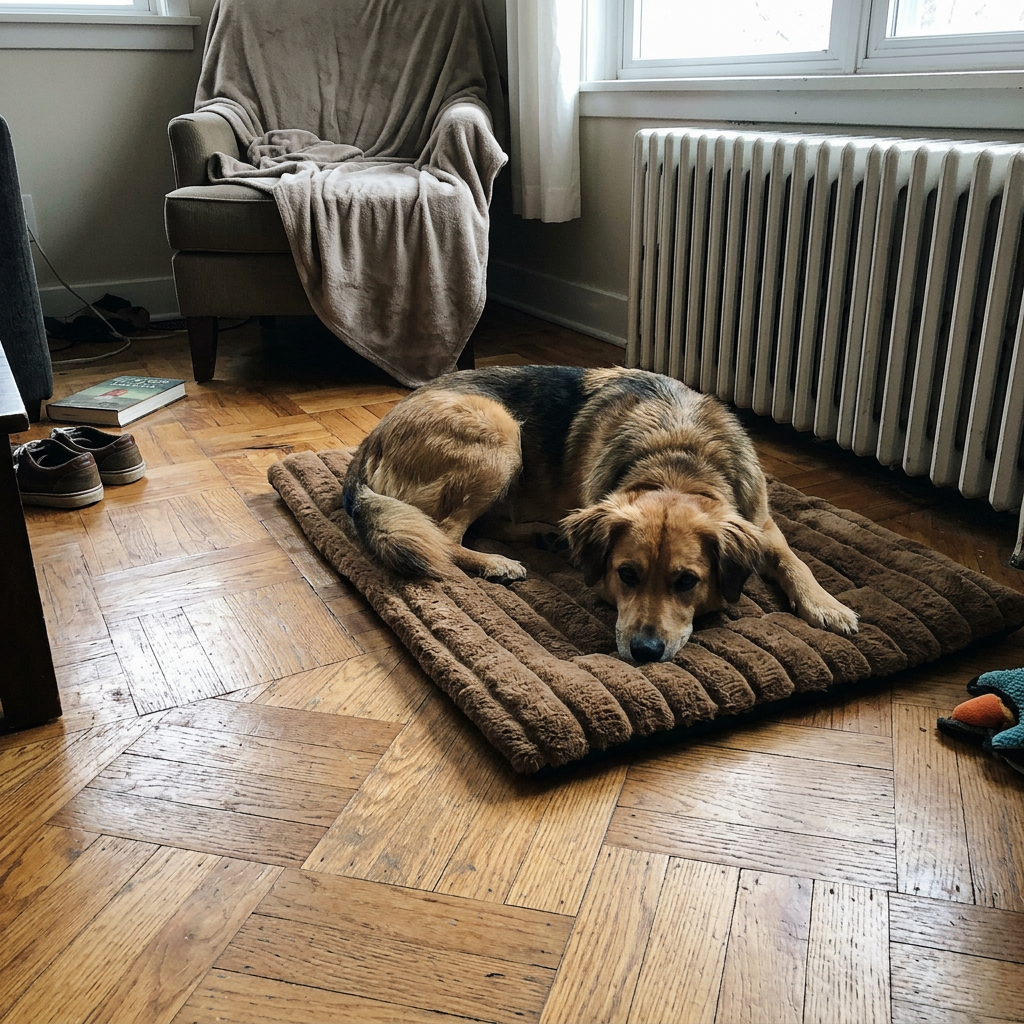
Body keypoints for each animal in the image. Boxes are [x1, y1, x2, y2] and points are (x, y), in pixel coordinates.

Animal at [341, 366, 858, 664]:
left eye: (686, 582)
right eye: (625, 575)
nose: (644, 653)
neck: (678, 458)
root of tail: (370, 440)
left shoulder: (762, 523)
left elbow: (796, 561)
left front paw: (825, 605)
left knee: (484, 523)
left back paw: (546, 534)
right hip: (499, 429)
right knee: (445, 534)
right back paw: (494, 564)